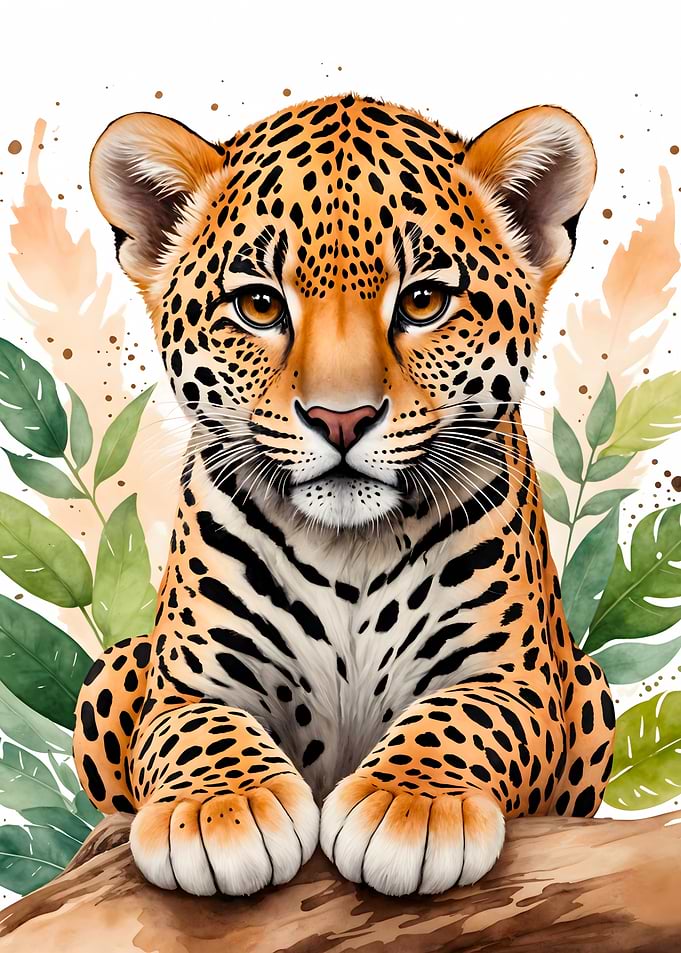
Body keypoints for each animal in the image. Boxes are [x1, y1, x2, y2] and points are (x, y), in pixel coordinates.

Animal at [73, 94, 615, 898]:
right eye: (259, 304)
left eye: (423, 300)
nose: (340, 418)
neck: (348, 549)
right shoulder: (187, 683)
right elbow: (200, 730)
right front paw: (221, 809)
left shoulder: (516, 679)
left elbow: (462, 719)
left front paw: (408, 802)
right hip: (115, 665)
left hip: (589, 678)